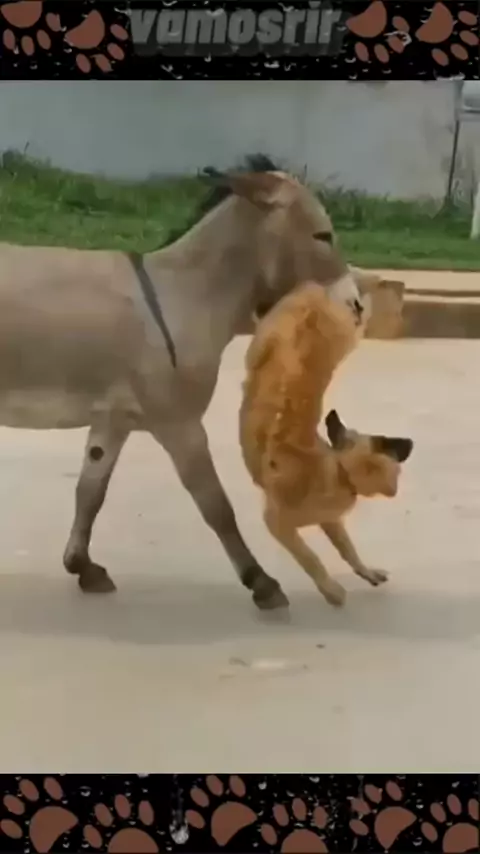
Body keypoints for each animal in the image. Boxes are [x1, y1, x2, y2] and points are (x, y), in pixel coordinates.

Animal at [239, 280, 413, 607]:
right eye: (387, 444)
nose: (410, 442)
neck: (341, 473)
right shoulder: (277, 523)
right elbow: (310, 557)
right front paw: (331, 590)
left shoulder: (331, 522)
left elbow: (347, 549)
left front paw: (366, 572)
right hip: (334, 335)